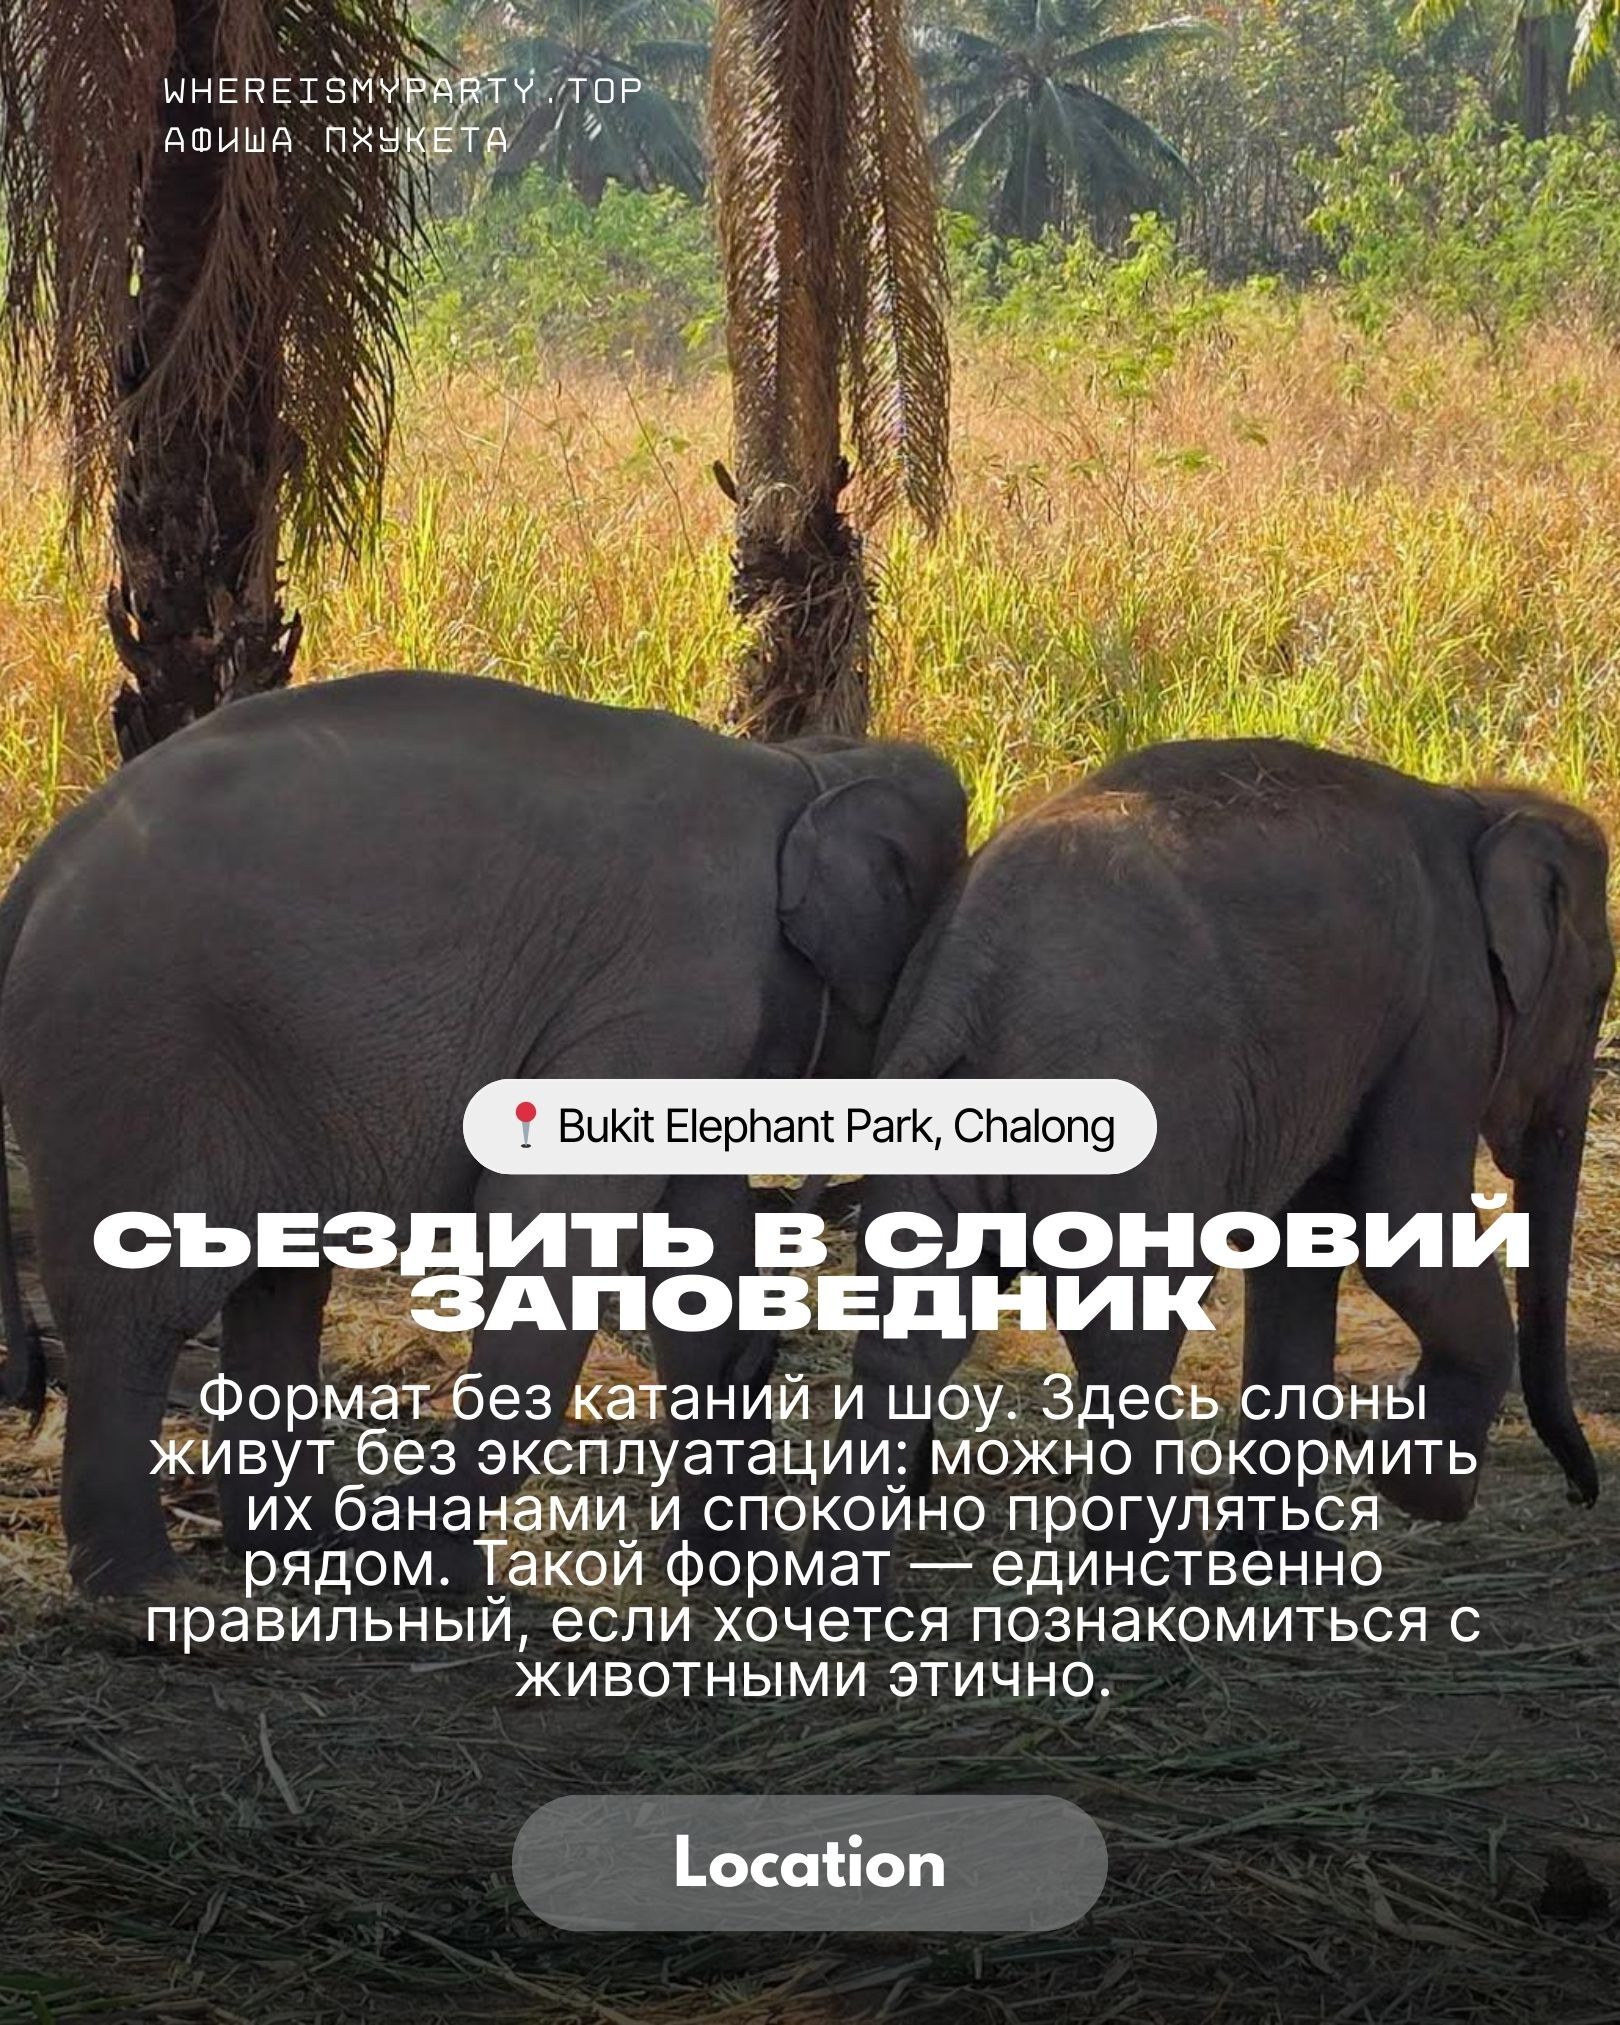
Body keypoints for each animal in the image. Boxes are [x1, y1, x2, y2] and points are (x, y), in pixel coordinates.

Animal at [0, 671, 966, 1595]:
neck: (807, 768)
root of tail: (38, 873)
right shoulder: (677, 984)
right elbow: (550, 1225)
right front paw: (421, 1567)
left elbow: (698, 1265)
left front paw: (740, 1574)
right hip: (133, 1054)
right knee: (139, 1305)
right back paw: (148, 1586)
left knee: (279, 1285)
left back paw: (295, 1551)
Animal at [818, 736, 1612, 1577]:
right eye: (1599, 993)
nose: (1580, 1493)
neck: (1482, 804)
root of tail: (966, 981)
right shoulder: (1445, 1013)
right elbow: (1403, 1226)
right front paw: (1421, 1488)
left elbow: (1305, 1248)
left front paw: (1291, 1557)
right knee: (1127, 1331)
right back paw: (1163, 1579)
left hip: (929, 1116)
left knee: (908, 1340)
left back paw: (839, 1591)